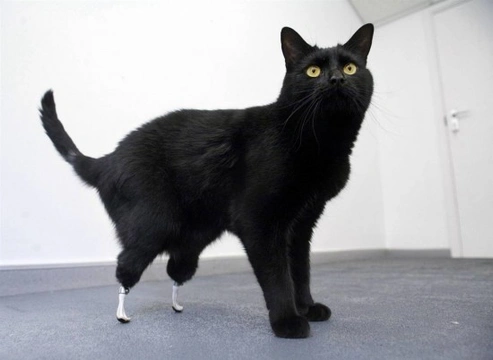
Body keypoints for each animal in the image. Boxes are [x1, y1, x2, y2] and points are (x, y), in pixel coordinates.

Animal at [39, 23, 372, 338]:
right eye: (312, 71)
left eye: (350, 68)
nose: (336, 80)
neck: (321, 142)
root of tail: (108, 160)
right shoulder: (259, 221)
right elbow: (278, 275)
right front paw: (288, 321)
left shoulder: (302, 224)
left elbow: (300, 271)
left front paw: (306, 307)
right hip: (154, 224)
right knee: (125, 266)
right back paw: (122, 314)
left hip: (195, 236)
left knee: (175, 269)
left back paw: (176, 306)